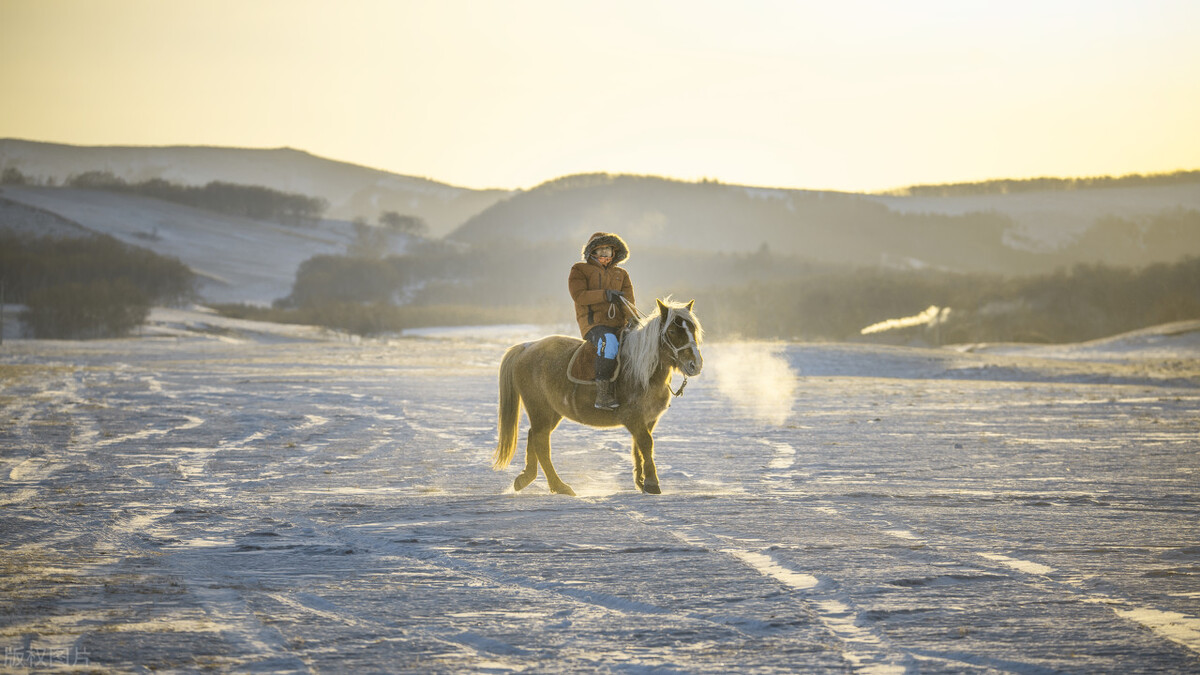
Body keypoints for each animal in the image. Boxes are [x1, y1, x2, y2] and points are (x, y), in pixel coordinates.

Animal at [494, 297, 700, 494]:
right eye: (672, 331)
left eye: (693, 329)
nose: (695, 364)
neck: (642, 371)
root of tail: (527, 346)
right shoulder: (633, 417)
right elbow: (646, 444)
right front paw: (651, 483)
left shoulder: (648, 419)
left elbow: (638, 448)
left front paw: (641, 482)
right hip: (539, 408)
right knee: (541, 443)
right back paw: (559, 486)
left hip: (552, 412)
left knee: (533, 436)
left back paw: (526, 478)